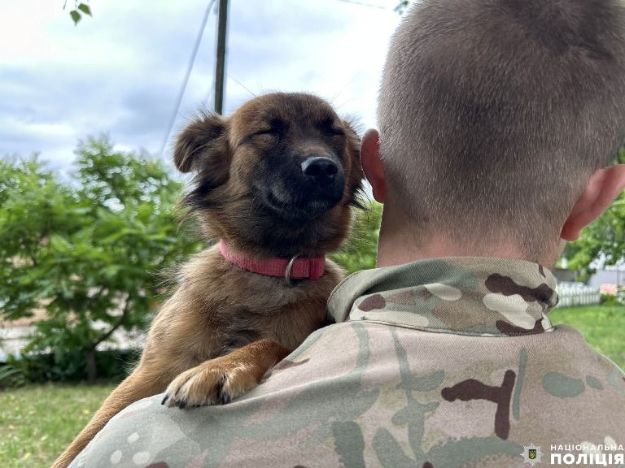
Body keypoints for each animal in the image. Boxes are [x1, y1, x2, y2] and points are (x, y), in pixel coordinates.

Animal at [54, 92, 366, 468]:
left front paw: (220, 367)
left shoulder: (296, 338)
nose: (322, 167)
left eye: (334, 133)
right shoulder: (151, 370)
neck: (270, 267)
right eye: (267, 132)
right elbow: (86, 437)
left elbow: (270, 342)